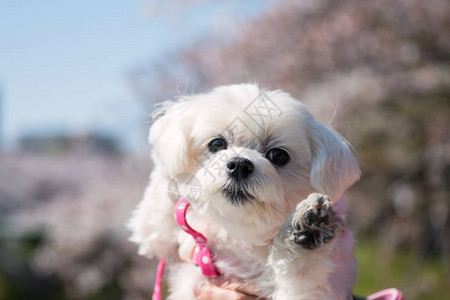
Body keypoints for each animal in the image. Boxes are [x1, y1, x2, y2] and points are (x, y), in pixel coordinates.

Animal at [128, 83, 360, 298]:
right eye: (217, 143)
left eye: (278, 155)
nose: (239, 165)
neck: (240, 235)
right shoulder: (160, 236)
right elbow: (151, 224)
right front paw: (169, 176)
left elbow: (302, 279)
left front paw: (308, 229)